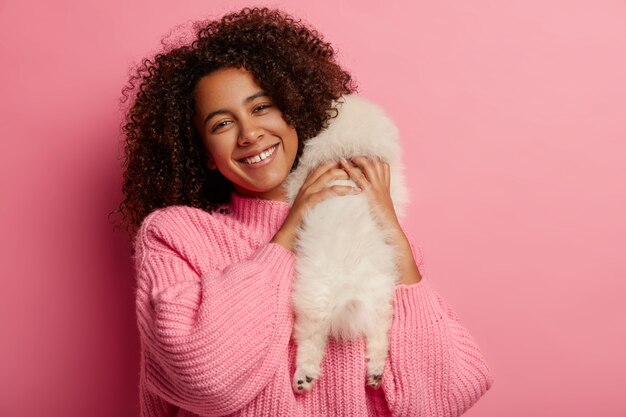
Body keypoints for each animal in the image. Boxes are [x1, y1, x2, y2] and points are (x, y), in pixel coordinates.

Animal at [282, 93, 408, 390]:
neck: (351, 155)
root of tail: (351, 283)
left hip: (312, 300)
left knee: (310, 341)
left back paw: (303, 377)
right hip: (379, 297)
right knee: (379, 332)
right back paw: (375, 372)